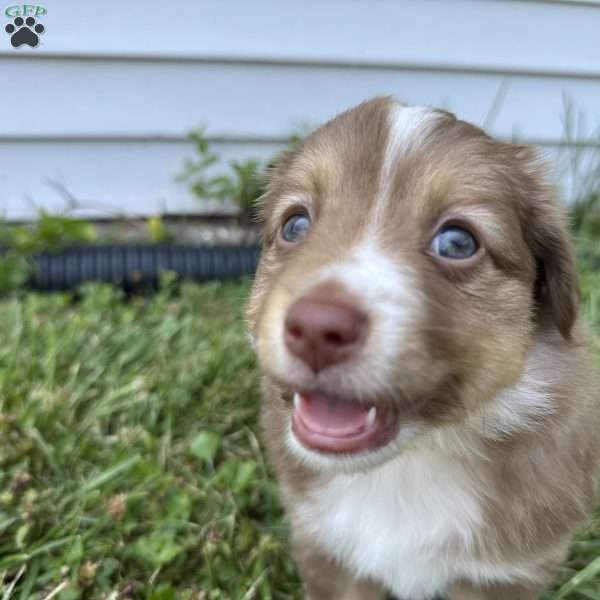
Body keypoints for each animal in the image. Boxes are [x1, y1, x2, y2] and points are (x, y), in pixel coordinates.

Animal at [245, 98, 600, 600]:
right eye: (295, 225)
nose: (315, 328)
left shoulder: (506, 574)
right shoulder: (327, 552)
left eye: (457, 242)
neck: (413, 460)